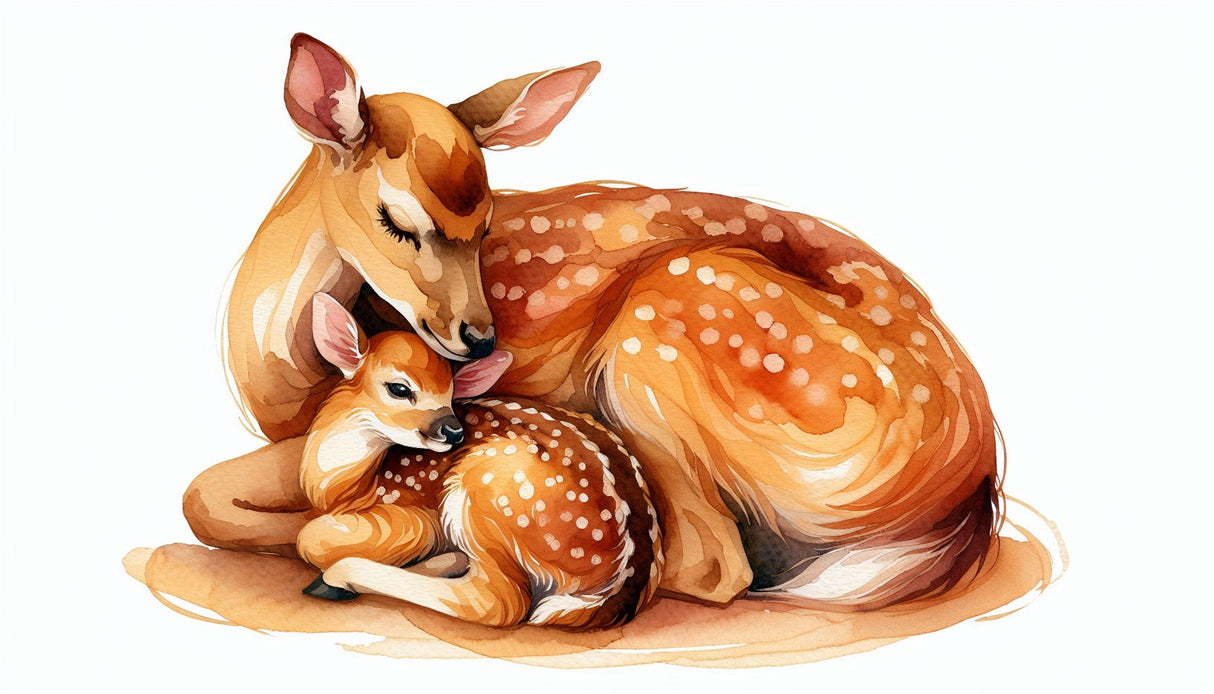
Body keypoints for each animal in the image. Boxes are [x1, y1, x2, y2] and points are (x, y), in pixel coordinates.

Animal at [293, 293, 661, 628]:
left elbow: (311, 537)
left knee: (502, 602)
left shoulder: (414, 510)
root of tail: (617, 587)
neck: (342, 489)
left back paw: (335, 580)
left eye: (451, 394)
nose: (453, 430)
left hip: (489, 487)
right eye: (399, 388)